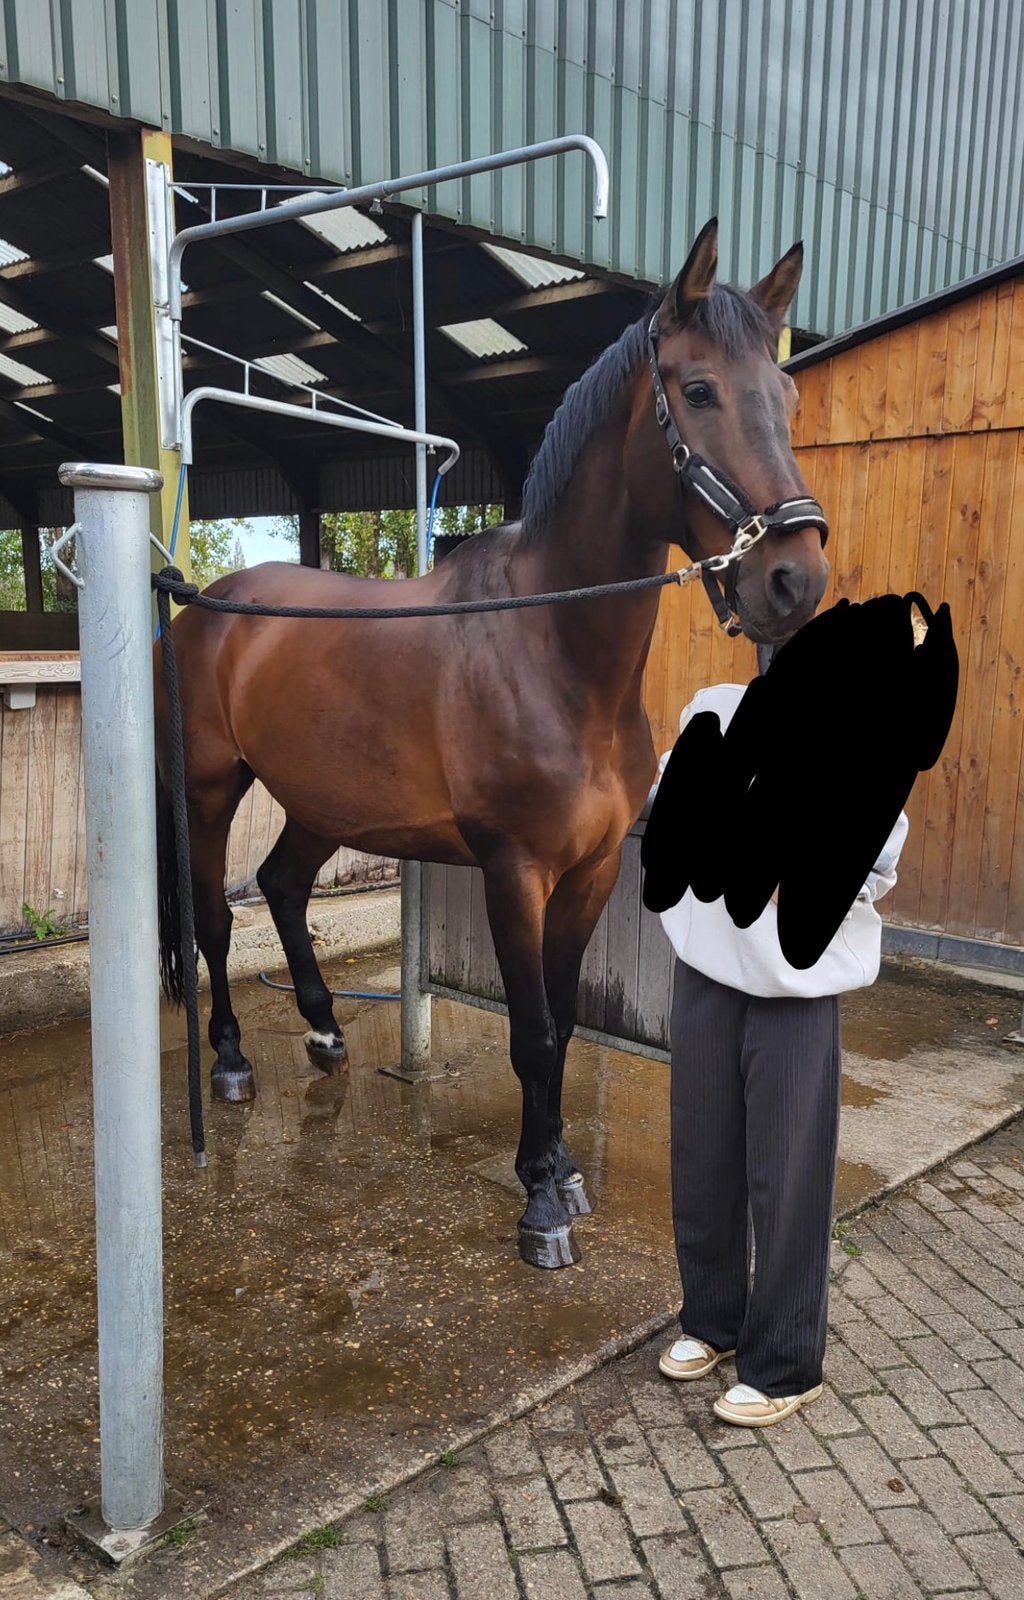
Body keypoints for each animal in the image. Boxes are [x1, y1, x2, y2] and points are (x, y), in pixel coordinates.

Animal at [155, 219, 830, 1270]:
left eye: (789, 399)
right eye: (699, 390)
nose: (796, 580)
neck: (551, 650)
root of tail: (207, 605)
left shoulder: (591, 872)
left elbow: (562, 1020)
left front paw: (561, 1169)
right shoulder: (515, 872)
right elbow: (536, 1034)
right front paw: (541, 1203)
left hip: (322, 800)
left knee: (282, 887)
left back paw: (325, 1031)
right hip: (210, 788)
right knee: (217, 921)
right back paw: (228, 1061)